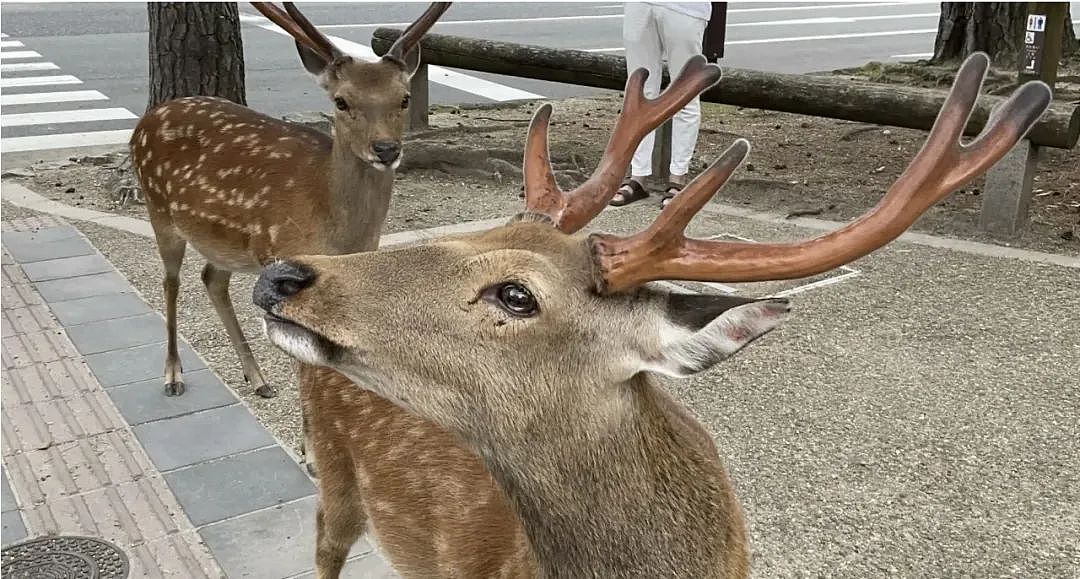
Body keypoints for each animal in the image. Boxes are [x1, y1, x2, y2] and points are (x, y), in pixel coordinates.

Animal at [130, 1, 451, 397]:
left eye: (404, 98)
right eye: (341, 101)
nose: (387, 149)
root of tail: (144, 120)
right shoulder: (278, 255)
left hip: (226, 240)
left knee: (211, 277)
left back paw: (257, 379)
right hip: (158, 207)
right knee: (171, 281)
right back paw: (173, 375)